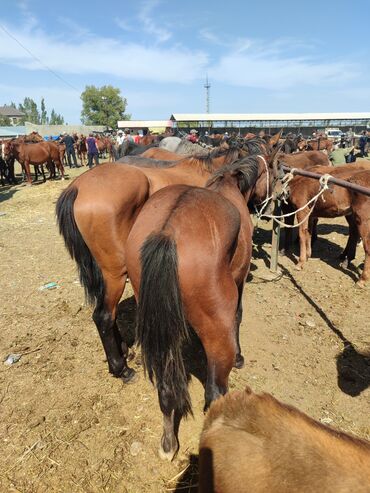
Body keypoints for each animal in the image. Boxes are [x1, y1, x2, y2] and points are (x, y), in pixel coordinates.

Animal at [124, 153, 274, 458]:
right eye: (273, 171)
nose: (277, 198)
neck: (228, 183)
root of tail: (168, 232)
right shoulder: (239, 281)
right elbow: (239, 316)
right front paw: (240, 357)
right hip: (217, 332)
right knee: (214, 391)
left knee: (166, 390)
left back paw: (168, 443)